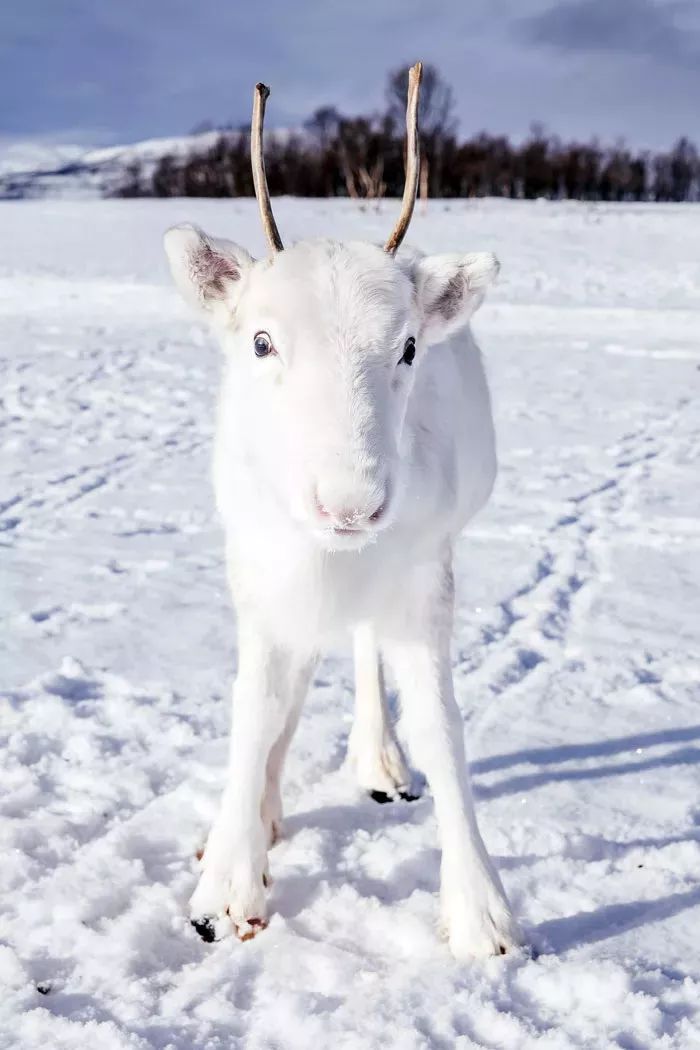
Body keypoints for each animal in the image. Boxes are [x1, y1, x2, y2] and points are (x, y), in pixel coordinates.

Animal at [164, 65, 520, 961]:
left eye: (409, 347)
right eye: (261, 341)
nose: (352, 503)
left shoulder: (425, 576)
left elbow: (441, 725)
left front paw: (481, 913)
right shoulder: (259, 571)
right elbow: (257, 708)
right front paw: (228, 882)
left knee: (362, 653)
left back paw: (377, 762)